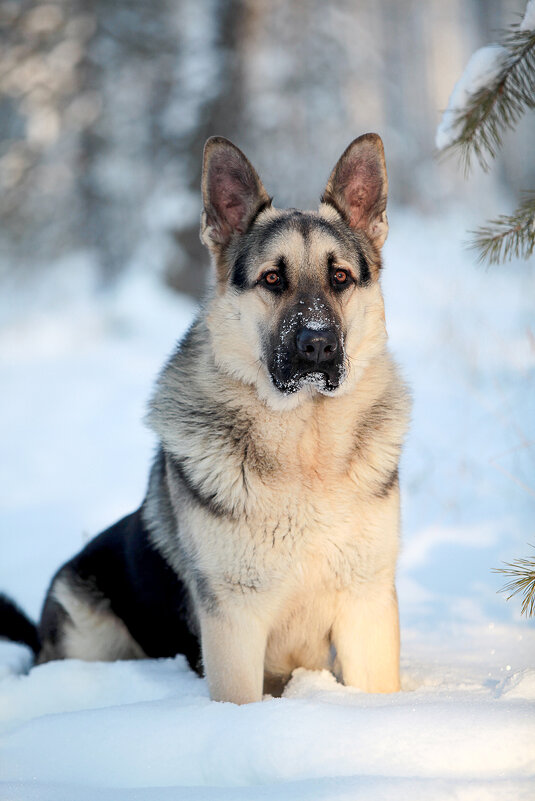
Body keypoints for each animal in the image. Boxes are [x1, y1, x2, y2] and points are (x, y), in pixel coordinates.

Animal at [2, 134, 410, 704]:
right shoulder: (234, 621)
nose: (318, 345)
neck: (305, 448)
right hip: (88, 628)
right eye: (272, 279)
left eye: (341, 278)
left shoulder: (365, 606)